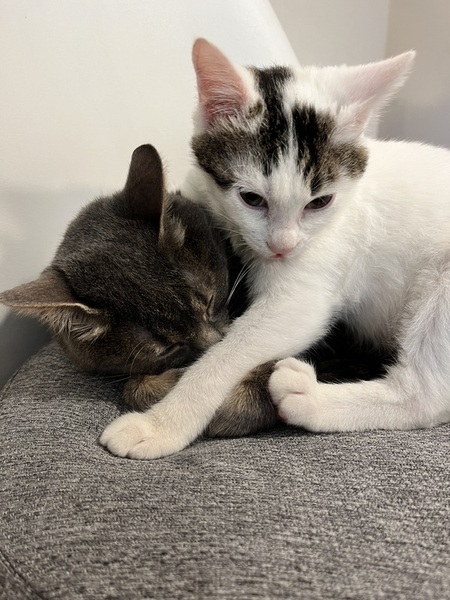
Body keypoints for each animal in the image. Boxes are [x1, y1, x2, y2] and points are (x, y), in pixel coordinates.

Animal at [99, 39, 450, 460]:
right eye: (251, 199)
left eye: (320, 202)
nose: (283, 246)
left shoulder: (304, 292)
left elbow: (226, 354)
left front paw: (161, 425)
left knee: (427, 398)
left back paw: (308, 399)